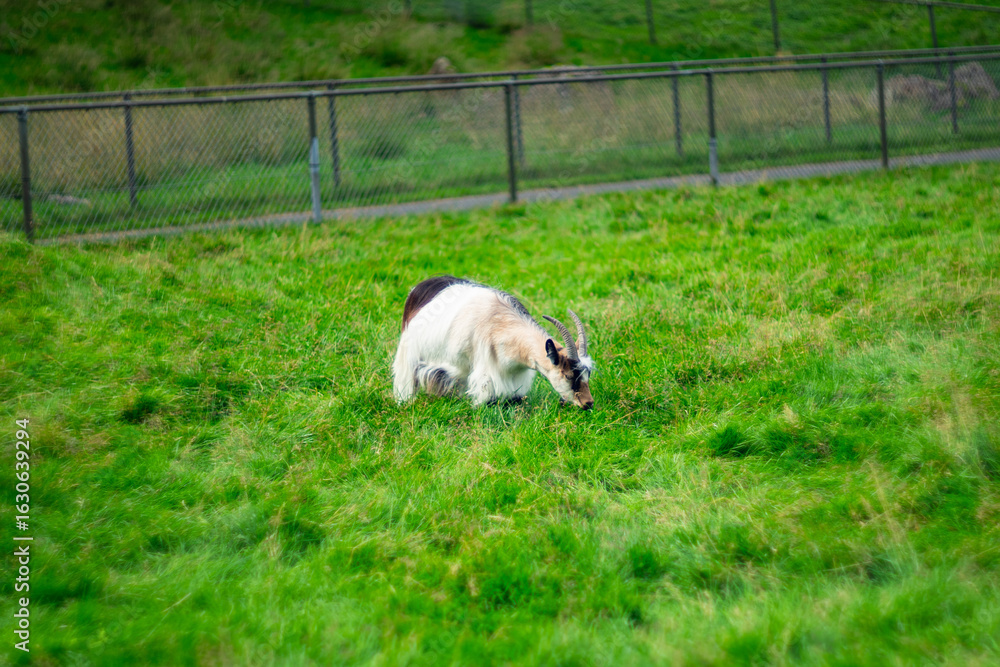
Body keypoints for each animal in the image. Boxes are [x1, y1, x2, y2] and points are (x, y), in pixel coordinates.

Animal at [392, 276, 595, 409]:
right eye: (568, 375)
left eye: (588, 374)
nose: (588, 403)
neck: (500, 325)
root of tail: (418, 288)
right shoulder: (486, 374)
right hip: (408, 353)